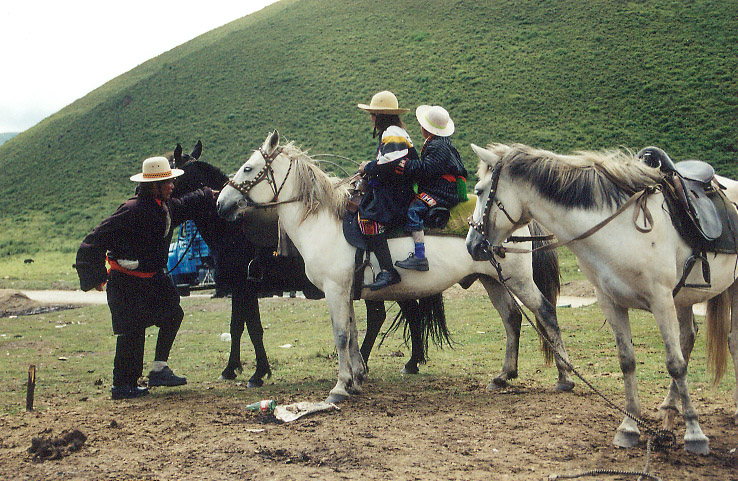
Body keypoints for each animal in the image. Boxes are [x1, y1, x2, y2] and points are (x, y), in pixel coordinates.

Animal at [216, 130, 572, 402]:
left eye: (248, 168)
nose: (221, 204)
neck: (323, 221)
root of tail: (520, 219)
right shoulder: (347, 291)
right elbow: (353, 332)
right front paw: (356, 379)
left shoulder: (335, 289)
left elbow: (341, 334)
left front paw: (340, 387)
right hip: (493, 281)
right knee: (512, 319)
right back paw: (503, 375)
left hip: (517, 279)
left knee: (545, 312)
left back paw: (565, 376)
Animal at [466, 142, 736, 454]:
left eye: (479, 190)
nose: (472, 245)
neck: (619, 230)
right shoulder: (611, 302)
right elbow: (627, 361)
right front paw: (629, 428)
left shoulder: (661, 300)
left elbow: (675, 364)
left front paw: (694, 434)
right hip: (684, 297)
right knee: (690, 336)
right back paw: (669, 408)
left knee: (727, 341)